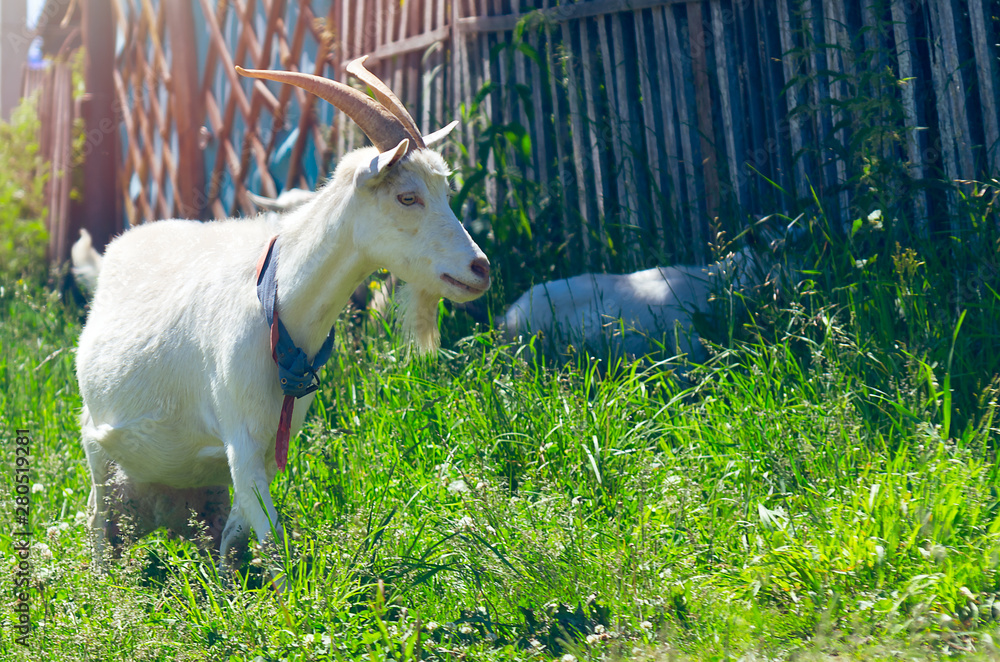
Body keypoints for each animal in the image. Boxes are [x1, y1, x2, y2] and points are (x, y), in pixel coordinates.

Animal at [74, 58, 488, 576]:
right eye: (407, 197)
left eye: (446, 192)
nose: (480, 268)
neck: (278, 309)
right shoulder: (242, 440)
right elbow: (274, 548)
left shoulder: (269, 445)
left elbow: (238, 534)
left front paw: (228, 583)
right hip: (96, 448)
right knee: (97, 517)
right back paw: (105, 584)